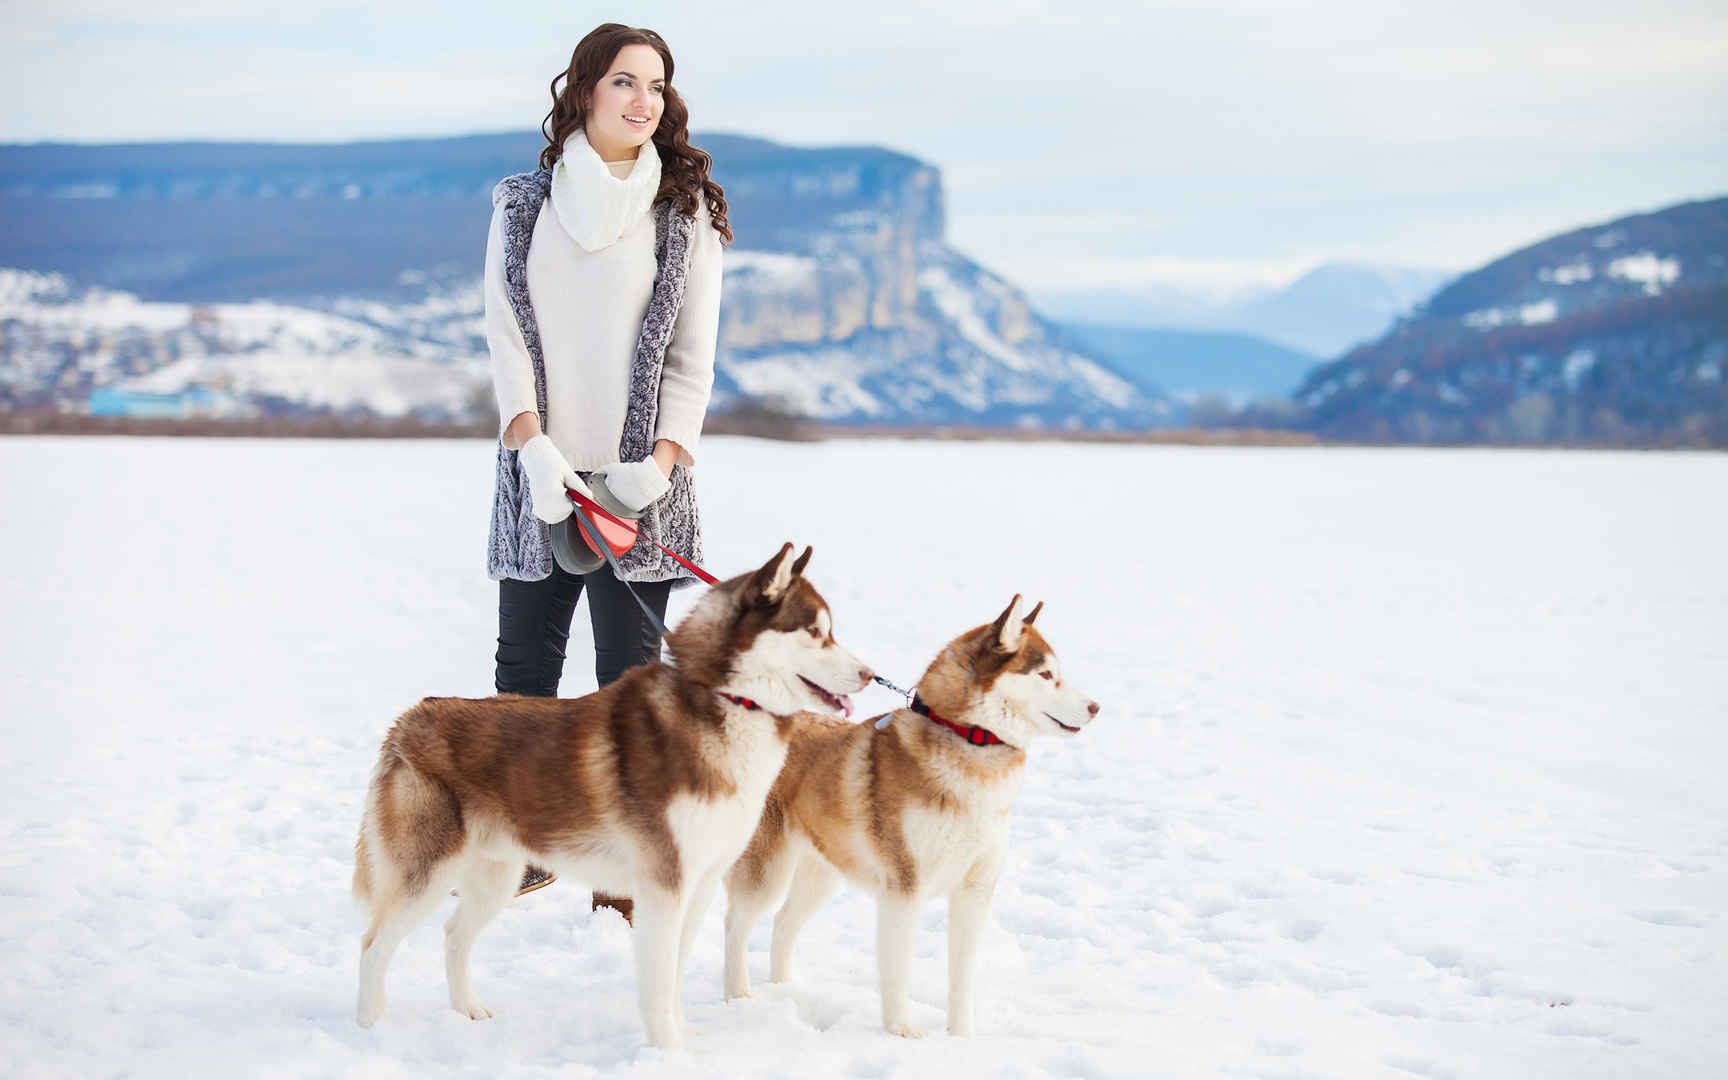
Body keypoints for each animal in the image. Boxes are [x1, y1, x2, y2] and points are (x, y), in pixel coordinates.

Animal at [350, 542, 870, 1050]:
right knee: (372, 945)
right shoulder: (663, 885)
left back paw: (467, 1010)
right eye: (815, 632)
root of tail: (409, 718)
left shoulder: (700, 882)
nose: (869, 674)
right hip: (427, 872)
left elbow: (676, 971)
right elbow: (659, 980)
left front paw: (684, 1035)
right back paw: (370, 1029)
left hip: (496, 875)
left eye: (830, 631)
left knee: (454, 934)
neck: (726, 704)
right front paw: (668, 1053)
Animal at [722, 597, 1099, 1036]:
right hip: (767, 871)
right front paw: (901, 1032)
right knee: (735, 924)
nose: (1096, 707)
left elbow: (962, 977)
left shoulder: (975, 891)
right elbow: (898, 970)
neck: (969, 739)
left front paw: (961, 1037)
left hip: (822, 875)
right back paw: (737, 996)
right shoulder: (904, 889)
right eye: (1046, 674)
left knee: (783, 922)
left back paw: (785, 989)